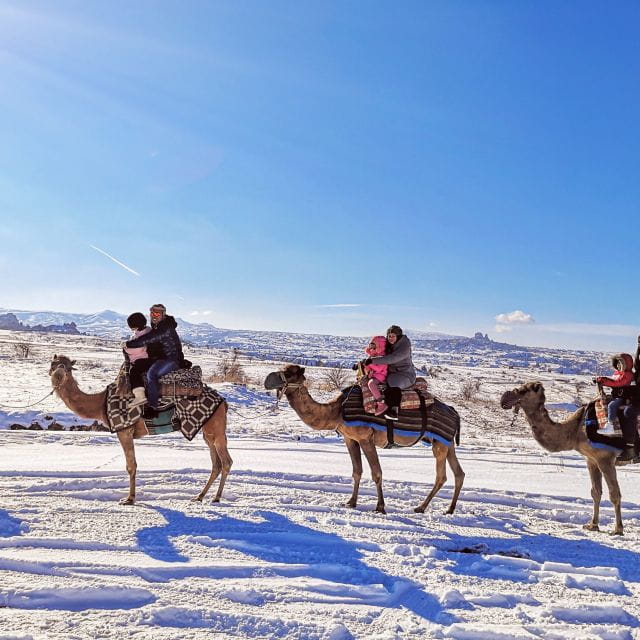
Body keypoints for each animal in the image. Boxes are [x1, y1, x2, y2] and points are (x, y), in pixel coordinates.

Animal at [49, 354, 232, 505]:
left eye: (68, 367)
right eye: (53, 364)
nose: (59, 373)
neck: (100, 403)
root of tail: (224, 402)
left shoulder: (124, 431)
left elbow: (131, 466)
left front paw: (129, 499)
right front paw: (130, 498)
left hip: (215, 426)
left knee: (226, 461)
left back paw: (216, 498)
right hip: (206, 429)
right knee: (216, 463)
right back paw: (199, 496)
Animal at [265, 365, 465, 514]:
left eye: (289, 373)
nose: (268, 381)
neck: (337, 411)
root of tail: (454, 412)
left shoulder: (365, 438)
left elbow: (376, 473)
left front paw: (380, 507)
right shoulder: (350, 439)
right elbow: (357, 471)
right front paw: (351, 502)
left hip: (440, 443)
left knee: (441, 476)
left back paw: (421, 507)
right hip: (446, 442)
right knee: (459, 473)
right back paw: (449, 509)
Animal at [500, 382, 625, 535]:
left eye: (523, 390)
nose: (503, 399)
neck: (576, 431)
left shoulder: (605, 458)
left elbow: (614, 494)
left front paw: (618, 530)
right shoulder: (591, 459)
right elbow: (596, 492)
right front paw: (592, 525)